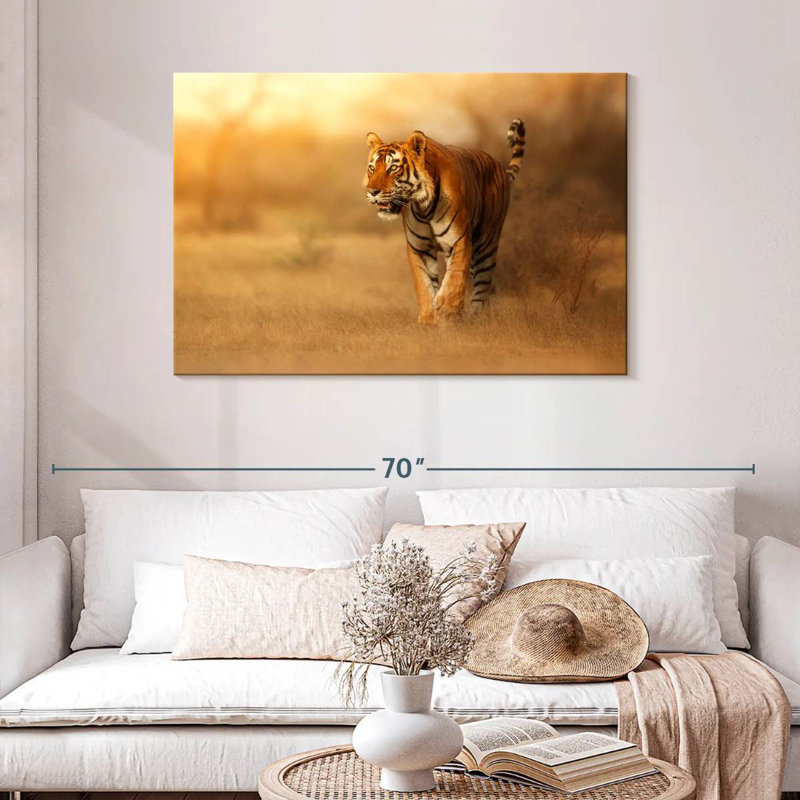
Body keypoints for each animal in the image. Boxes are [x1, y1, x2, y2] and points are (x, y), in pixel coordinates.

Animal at [363, 119, 525, 324]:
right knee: (489, 286)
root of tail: (500, 168)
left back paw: (476, 318)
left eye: (393, 168)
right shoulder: (419, 247)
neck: (423, 206)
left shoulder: (458, 241)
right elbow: (423, 284)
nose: (372, 191)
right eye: (372, 168)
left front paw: (446, 312)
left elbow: (454, 279)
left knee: (482, 285)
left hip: (486, 244)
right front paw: (428, 319)